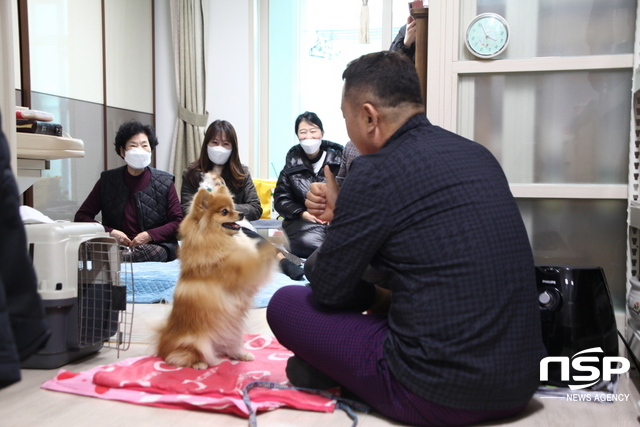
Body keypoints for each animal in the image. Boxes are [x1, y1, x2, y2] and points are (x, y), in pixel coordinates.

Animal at [156, 182, 276, 370]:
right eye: (224, 212)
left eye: (233, 208)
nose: (241, 213)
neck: (217, 240)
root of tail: (161, 345)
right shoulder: (241, 274)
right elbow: (256, 261)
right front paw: (275, 245)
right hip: (196, 341)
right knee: (178, 357)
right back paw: (199, 363)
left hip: (231, 332)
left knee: (227, 348)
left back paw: (240, 354)